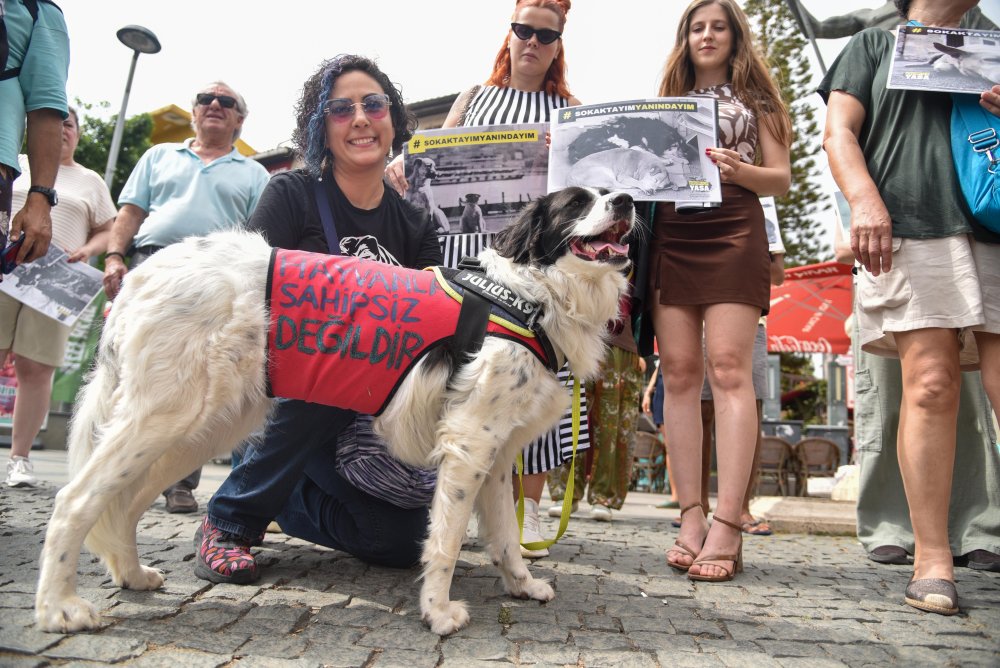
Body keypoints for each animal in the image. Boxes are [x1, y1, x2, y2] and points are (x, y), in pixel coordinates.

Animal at [37, 187, 640, 636]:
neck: (530, 295)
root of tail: (140, 276)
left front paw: (521, 585)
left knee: (123, 503)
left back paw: (131, 574)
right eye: (577, 202)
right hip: (165, 418)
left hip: (198, 427)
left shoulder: (495, 453)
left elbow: (506, 537)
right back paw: (59, 608)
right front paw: (438, 612)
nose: (629, 199)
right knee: (75, 502)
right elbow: (445, 540)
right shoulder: (468, 442)